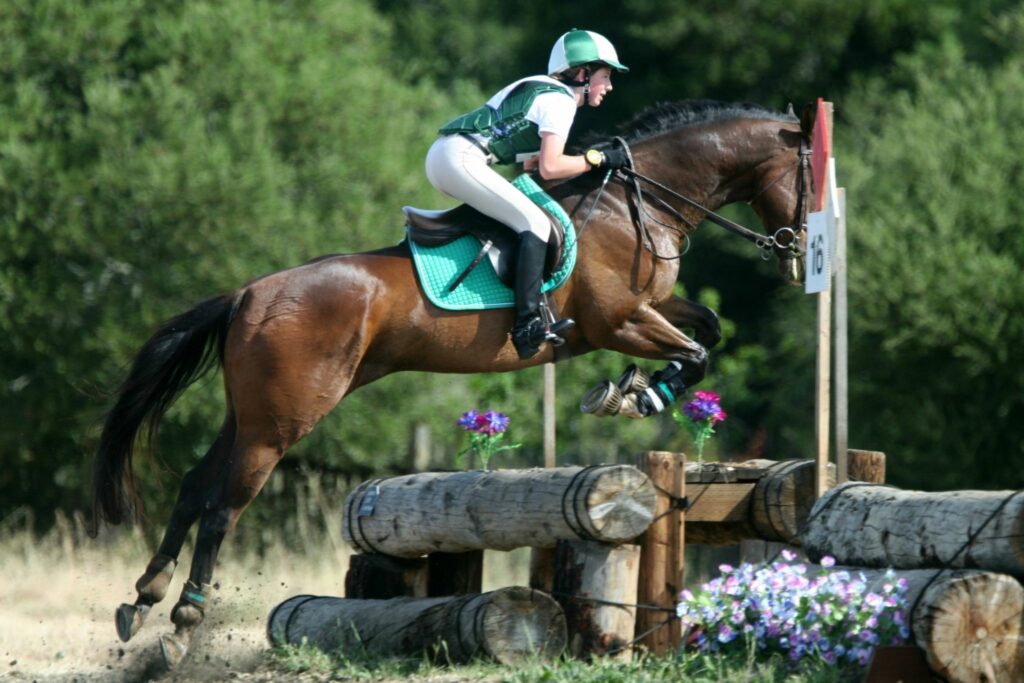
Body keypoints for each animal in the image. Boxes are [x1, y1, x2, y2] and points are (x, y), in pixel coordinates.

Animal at [92, 100, 815, 667]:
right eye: (809, 178)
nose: (798, 250)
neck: (637, 202)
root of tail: (247, 294)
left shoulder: (649, 309)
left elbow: (707, 330)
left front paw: (635, 389)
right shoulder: (619, 321)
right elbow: (694, 353)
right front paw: (636, 394)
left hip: (247, 413)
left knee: (194, 487)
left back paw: (142, 600)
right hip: (280, 422)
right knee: (222, 507)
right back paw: (181, 626)